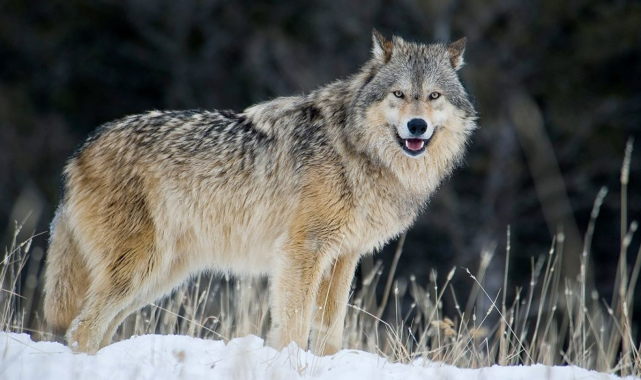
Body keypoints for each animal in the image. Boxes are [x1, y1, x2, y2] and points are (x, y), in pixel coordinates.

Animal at [42, 31, 476, 354]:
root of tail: (80, 151)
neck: (355, 149)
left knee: (96, 329)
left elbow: (330, 330)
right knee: (82, 328)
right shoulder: (301, 251)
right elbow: (294, 325)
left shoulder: (343, 257)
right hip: (140, 269)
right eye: (399, 94)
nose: (417, 126)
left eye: (434, 96)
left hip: (158, 276)